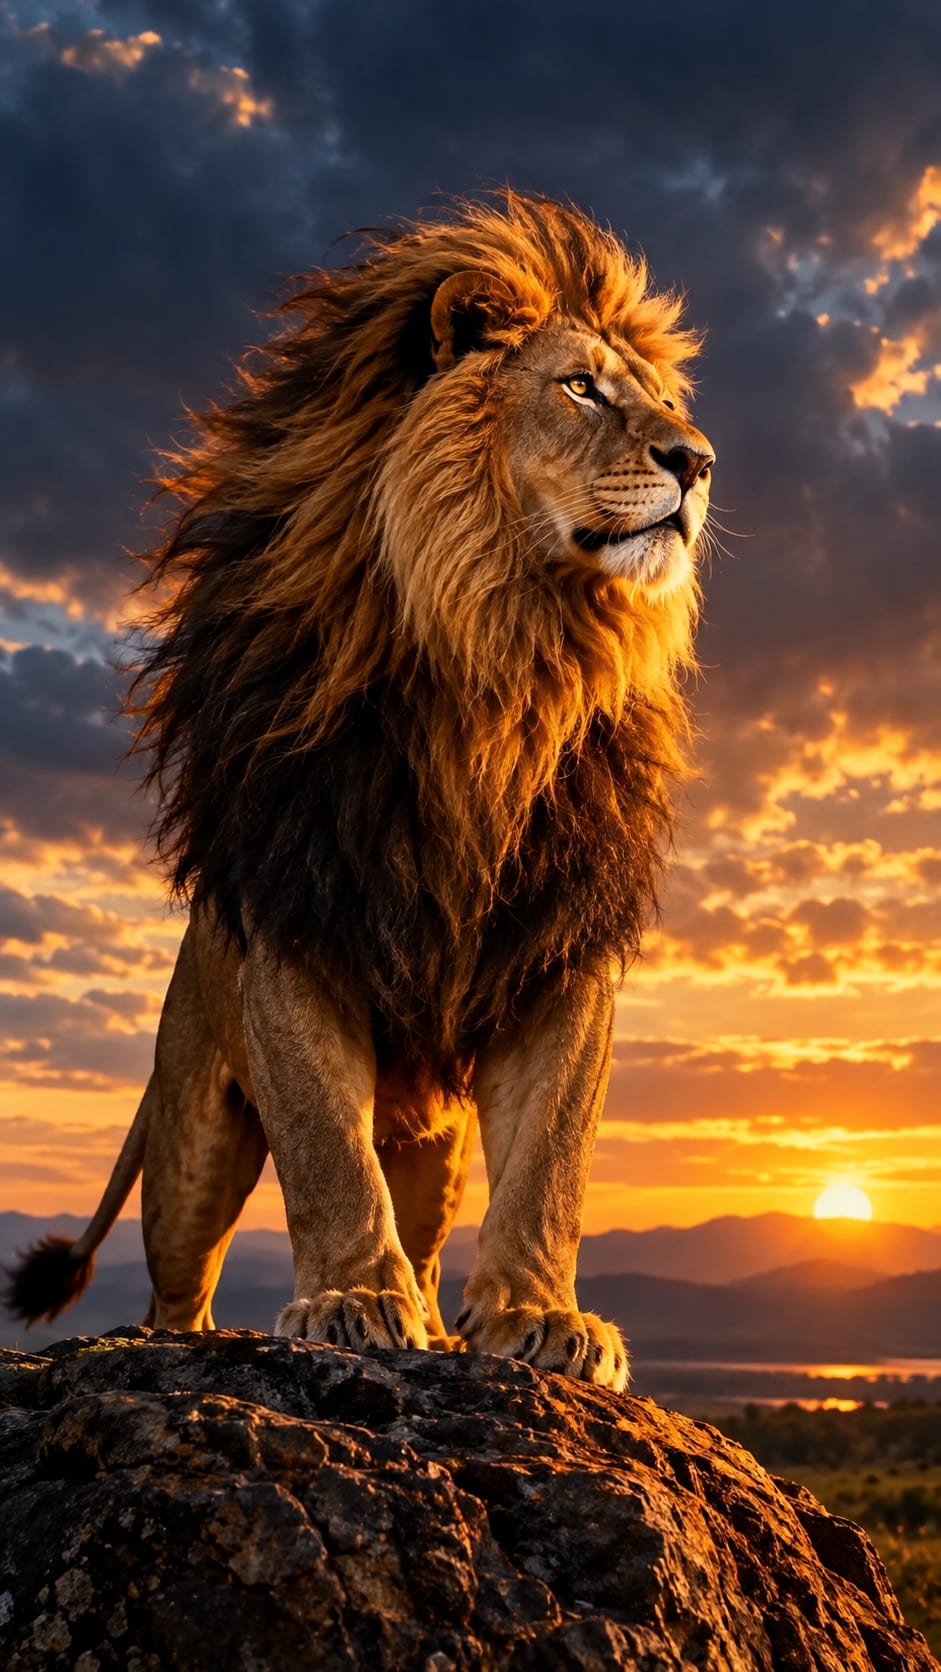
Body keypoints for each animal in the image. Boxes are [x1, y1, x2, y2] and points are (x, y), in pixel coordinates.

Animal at [5, 193, 713, 1392]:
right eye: (578, 386)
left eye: (665, 404)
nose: (698, 461)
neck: (506, 652)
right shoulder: (299, 918)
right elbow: (326, 1148)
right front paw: (349, 1300)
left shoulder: (557, 942)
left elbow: (553, 1158)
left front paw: (540, 1315)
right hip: (191, 1138)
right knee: (176, 1279)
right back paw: (185, 1343)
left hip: (434, 1145)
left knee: (425, 1225)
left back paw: (430, 1313)